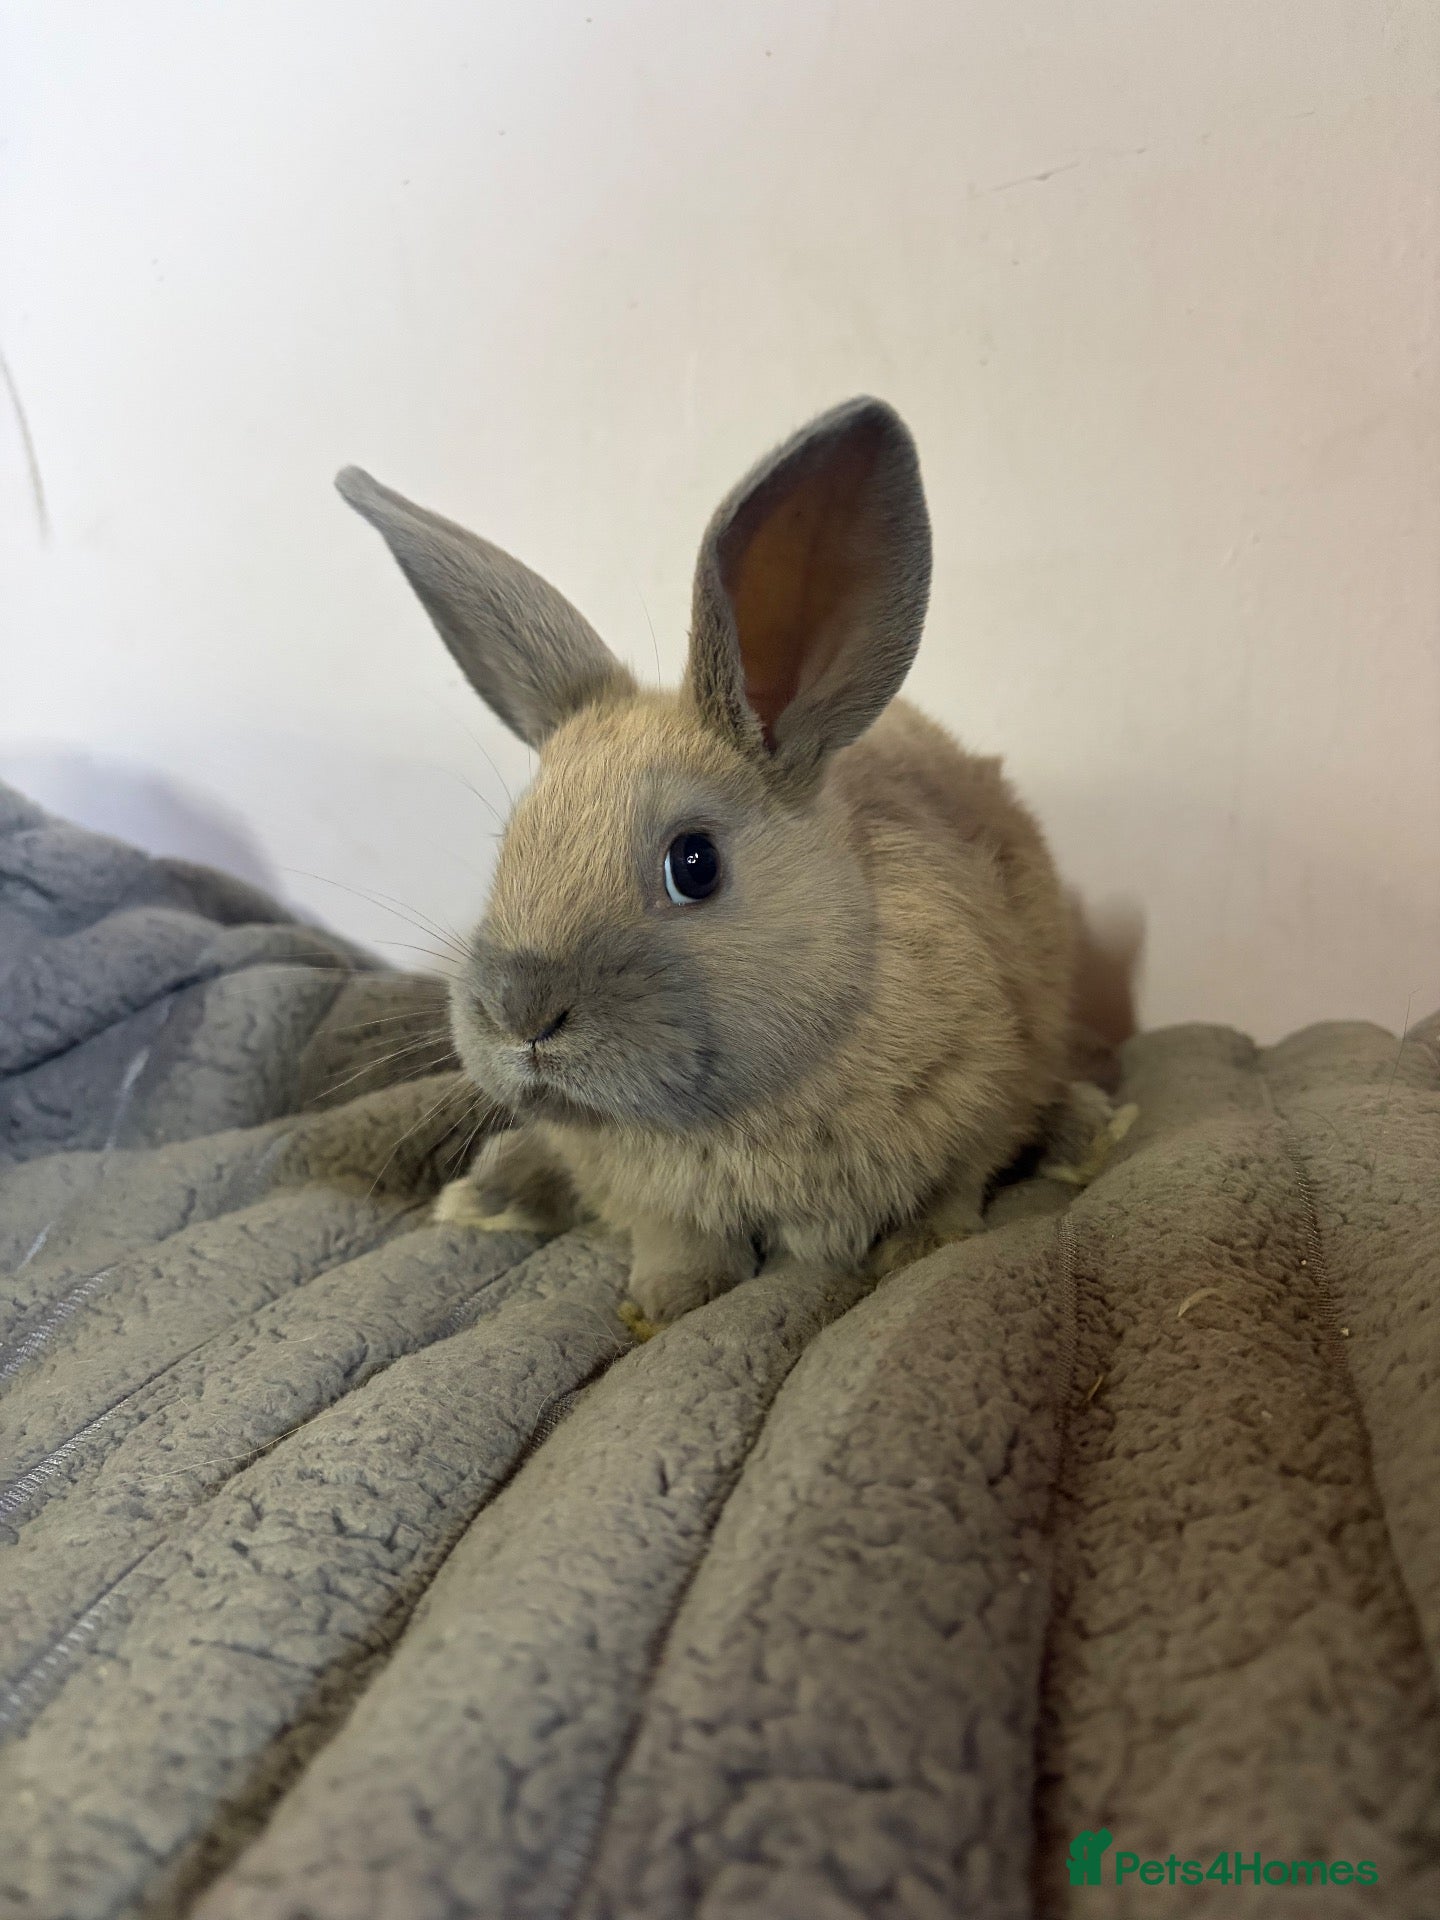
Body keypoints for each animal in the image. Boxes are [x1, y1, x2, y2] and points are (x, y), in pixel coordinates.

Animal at [337, 397, 1091, 1329]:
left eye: (694, 863)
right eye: (509, 845)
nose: (519, 1014)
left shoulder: (983, 1096)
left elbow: (951, 1190)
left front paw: (922, 1251)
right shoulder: (651, 1202)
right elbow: (678, 1242)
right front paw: (668, 1303)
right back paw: (487, 1195)